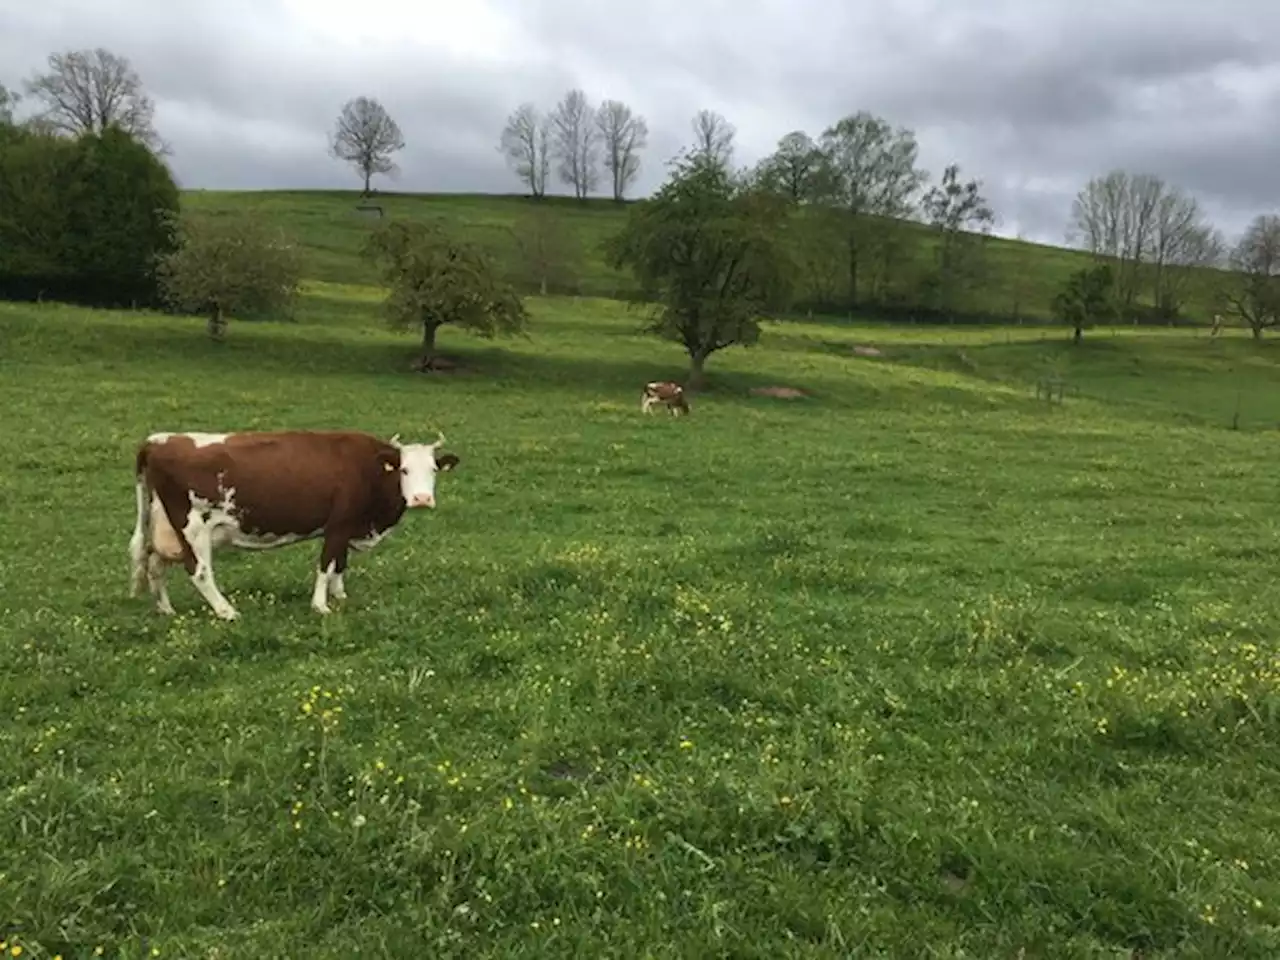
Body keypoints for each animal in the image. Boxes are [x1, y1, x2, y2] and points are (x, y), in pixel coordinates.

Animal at [124, 430, 463, 624]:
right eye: (403, 470)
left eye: (434, 469)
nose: (421, 499)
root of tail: (157, 440)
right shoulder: (338, 524)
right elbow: (326, 565)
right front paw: (321, 606)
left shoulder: (346, 527)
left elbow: (340, 564)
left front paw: (341, 597)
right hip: (193, 527)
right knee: (200, 571)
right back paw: (227, 612)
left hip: (164, 526)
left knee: (155, 563)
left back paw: (166, 609)